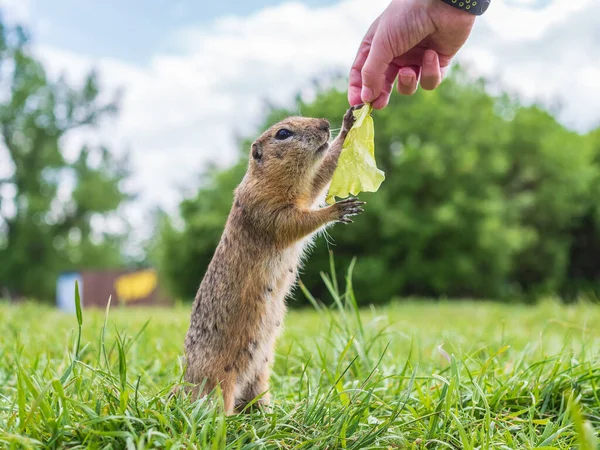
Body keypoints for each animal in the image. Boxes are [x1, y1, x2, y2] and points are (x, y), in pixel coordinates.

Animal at [180, 105, 364, 414]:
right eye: (283, 133)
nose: (324, 124)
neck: (266, 179)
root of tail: (183, 385)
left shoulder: (304, 191)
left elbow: (319, 181)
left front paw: (348, 123)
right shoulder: (266, 208)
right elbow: (295, 222)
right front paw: (339, 209)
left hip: (261, 373)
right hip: (218, 383)